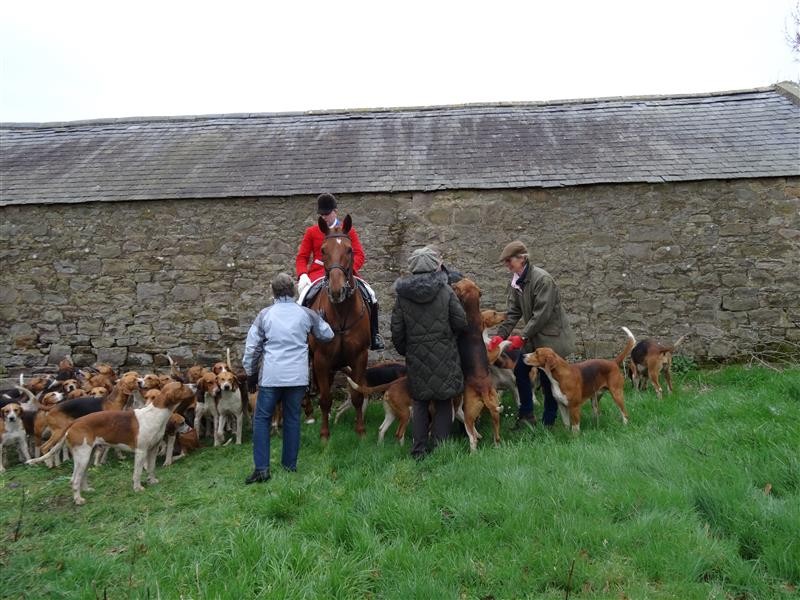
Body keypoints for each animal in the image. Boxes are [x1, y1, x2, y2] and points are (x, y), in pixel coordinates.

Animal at [27, 382, 195, 505]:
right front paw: (137, 488)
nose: (194, 385)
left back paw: (86, 490)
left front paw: (152, 481)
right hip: (82, 456)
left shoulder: (153, 449)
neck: (156, 414)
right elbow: (137, 472)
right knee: (74, 480)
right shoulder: (141, 452)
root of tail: (73, 423)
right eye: (182, 385)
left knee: (80, 476)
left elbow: (152, 468)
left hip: (88, 456)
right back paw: (78, 499)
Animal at [308, 214, 370, 440]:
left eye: (350, 250)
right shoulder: (321, 359)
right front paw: (325, 435)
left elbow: (358, 395)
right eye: (323, 250)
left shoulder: (359, 356)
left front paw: (360, 431)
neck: (342, 311)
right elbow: (325, 399)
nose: (337, 291)